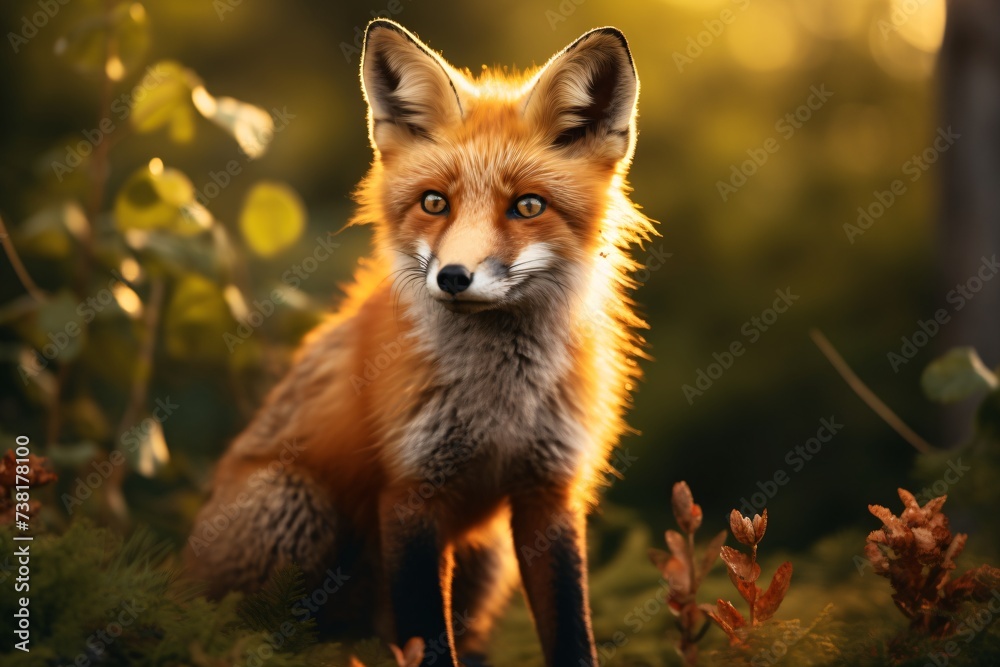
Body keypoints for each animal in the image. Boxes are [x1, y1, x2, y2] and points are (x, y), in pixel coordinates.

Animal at [186, 19, 655, 667]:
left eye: (527, 206)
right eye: (435, 202)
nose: (453, 277)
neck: (499, 405)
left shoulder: (549, 491)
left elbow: (571, 629)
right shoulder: (411, 491)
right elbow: (427, 635)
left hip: (486, 557)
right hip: (293, 502)